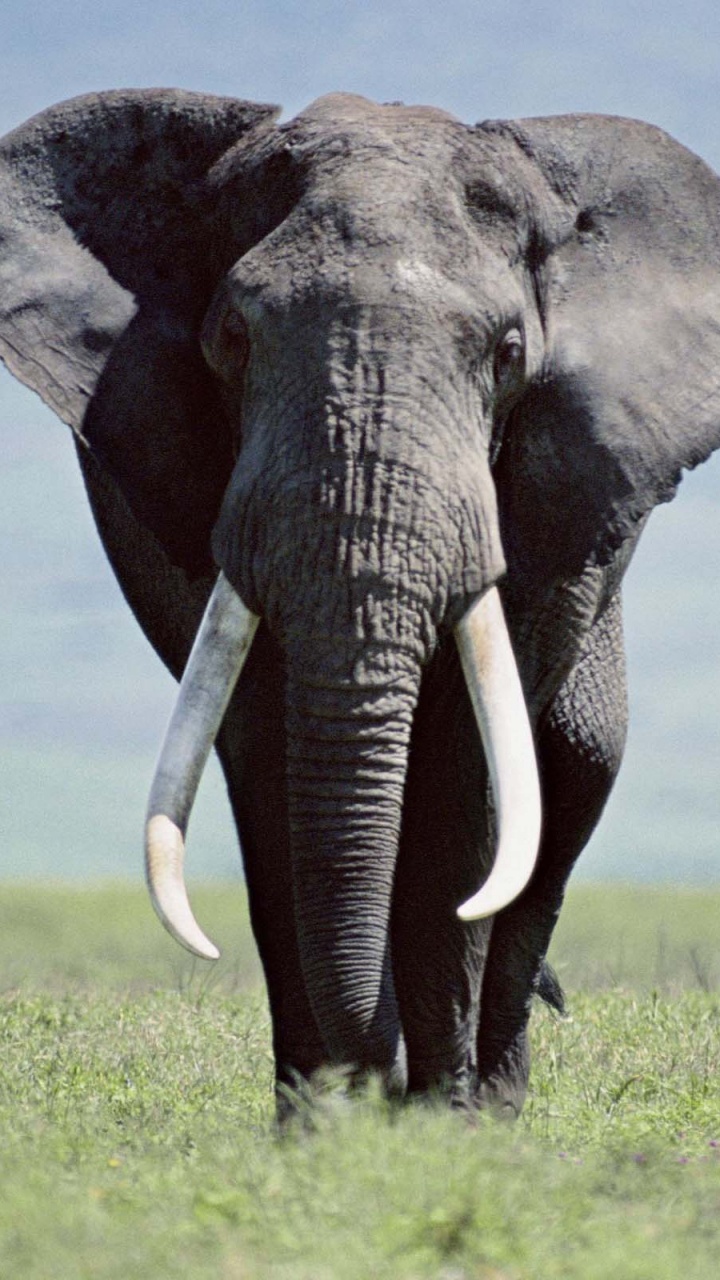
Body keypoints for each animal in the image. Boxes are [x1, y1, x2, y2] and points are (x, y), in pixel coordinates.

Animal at [2, 89, 720, 1118]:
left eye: (507, 353)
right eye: (232, 340)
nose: (384, 1081)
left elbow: (467, 764)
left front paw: (439, 1125)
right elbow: (264, 746)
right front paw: (325, 1124)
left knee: (579, 764)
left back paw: (497, 1102)